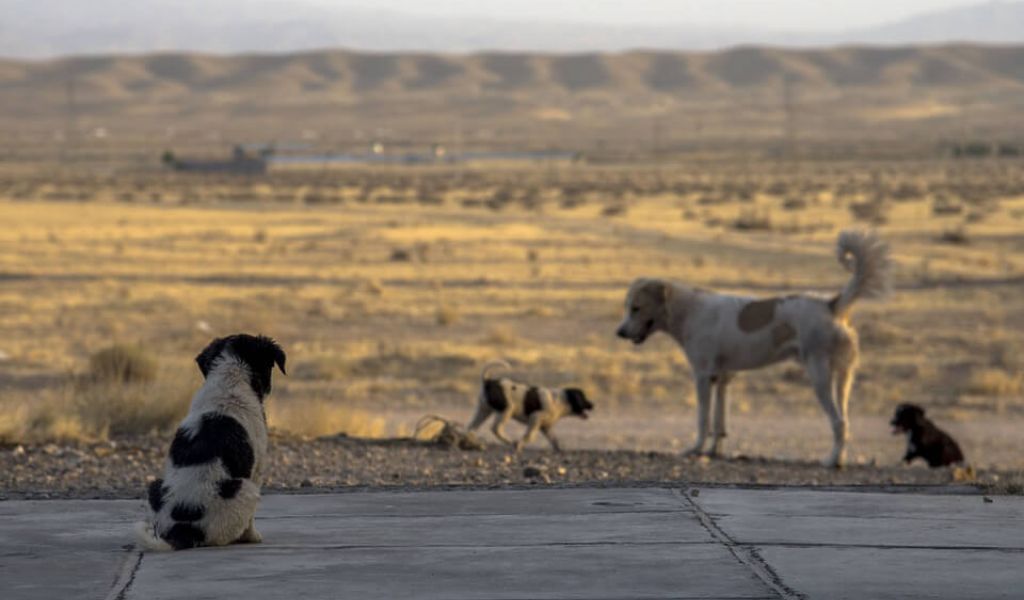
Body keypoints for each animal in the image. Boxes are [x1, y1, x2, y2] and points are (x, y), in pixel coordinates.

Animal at [134, 333, 284, 548]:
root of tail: (183, 529)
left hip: (155, 486)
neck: (230, 378)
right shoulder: (257, 468)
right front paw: (253, 536)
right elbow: (250, 521)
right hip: (245, 489)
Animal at [468, 358, 598, 450]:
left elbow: (555, 440)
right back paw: (510, 441)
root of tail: (488, 381)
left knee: (472, 427)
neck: (561, 400)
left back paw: (470, 440)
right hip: (506, 410)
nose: (593, 405)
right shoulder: (536, 418)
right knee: (496, 429)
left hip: (483, 410)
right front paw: (519, 444)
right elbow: (529, 436)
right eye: (583, 398)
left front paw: (559, 449)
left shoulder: (546, 427)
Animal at [614, 229, 888, 466]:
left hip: (819, 375)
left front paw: (695, 449)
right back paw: (839, 458)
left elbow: (703, 419)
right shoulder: (722, 378)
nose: (620, 332)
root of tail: (831, 304)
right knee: (845, 420)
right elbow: (719, 422)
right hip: (844, 377)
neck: (688, 311)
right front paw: (714, 452)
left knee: (838, 422)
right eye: (627, 307)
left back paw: (832, 462)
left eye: (636, 308)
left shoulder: (702, 376)